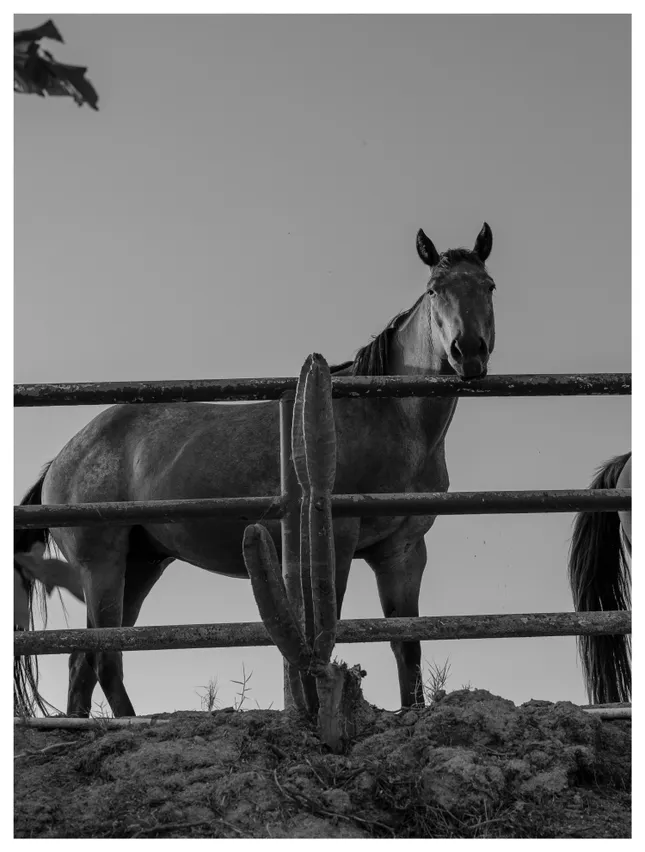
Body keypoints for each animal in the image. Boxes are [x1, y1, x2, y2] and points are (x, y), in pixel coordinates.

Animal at [14, 223, 498, 717]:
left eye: (488, 286)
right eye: (435, 289)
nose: (468, 352)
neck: (387, 414)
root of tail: (63, 459)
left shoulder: (402, 553)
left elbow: (408, 647)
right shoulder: (337, 540)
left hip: (140, 565)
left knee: (82, 663)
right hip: (104, 566)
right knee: (104, 657)